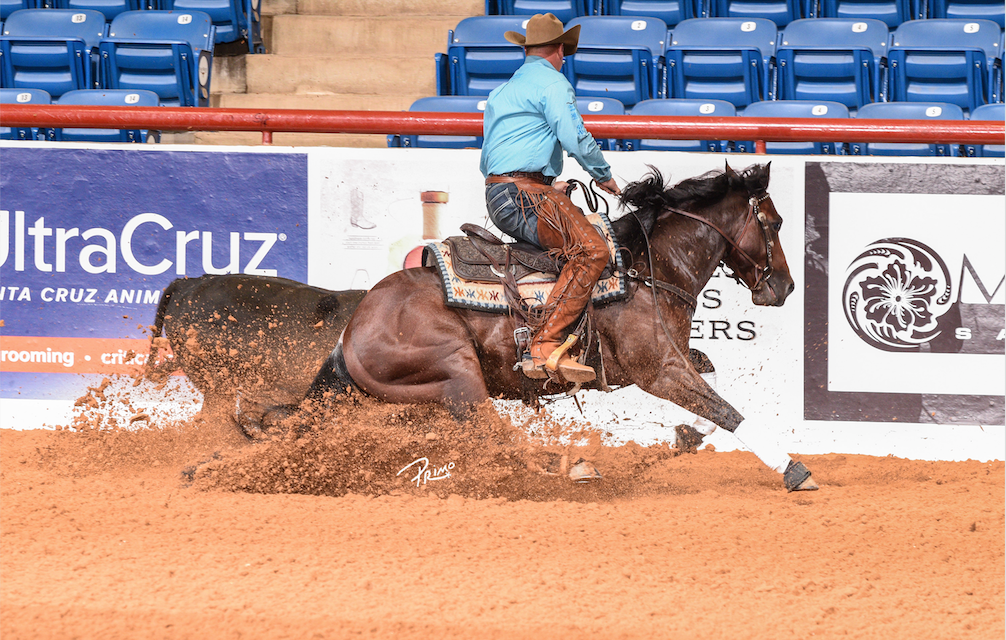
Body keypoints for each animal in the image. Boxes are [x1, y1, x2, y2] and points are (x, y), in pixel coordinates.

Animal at [305, 164, 816, 489]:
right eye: (775, 223)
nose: (786, 286)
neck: (647, 269)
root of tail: (350, 333)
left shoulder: (679, 360)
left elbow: (711, 401)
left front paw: (686, 435)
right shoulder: (659, 371)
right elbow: (727, 411)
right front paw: (794, 472)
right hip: (458, 374)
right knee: (496, 437)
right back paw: (570, 468)